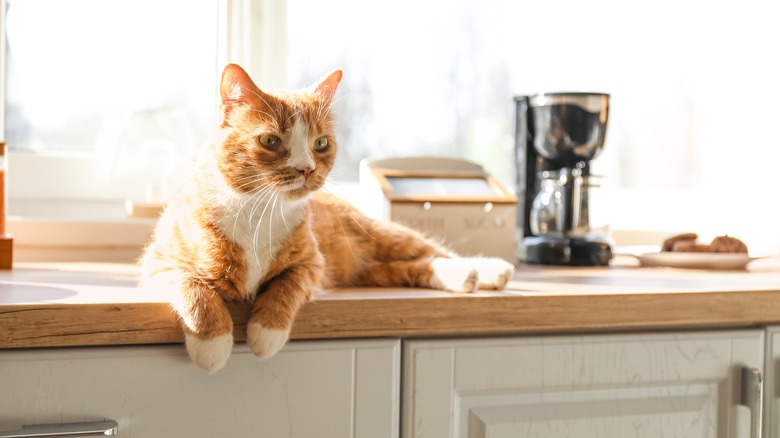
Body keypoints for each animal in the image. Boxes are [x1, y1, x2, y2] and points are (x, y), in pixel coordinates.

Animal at [142, 64, 516, 372]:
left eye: (320, 143)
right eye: (270, 140)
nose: (306, 168)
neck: (257, 211)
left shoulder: (312, 264)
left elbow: (285, 287)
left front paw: (265, 333)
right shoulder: (158, 263)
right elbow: (195, 292)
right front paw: (213, 345)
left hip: (381, 235)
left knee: (433, 251)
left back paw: (487, 271)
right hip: (370, 270)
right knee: (412, 267)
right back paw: (464, 277)